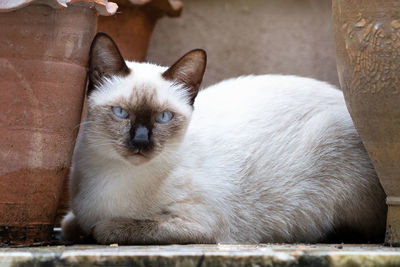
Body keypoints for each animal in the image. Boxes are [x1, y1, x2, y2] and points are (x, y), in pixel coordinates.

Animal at [61, 32, 386, 246]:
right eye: (121, 113)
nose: (141, 142)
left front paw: (100, 228)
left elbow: (107, 228)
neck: (112, 176)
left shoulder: (199, 225)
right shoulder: (76, 216)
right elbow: (69, 225)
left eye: (163, 117)